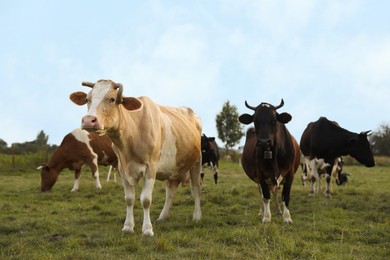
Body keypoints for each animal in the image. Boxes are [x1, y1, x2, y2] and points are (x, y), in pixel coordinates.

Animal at [70, 78, 203, 236]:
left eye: (112, 99)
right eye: (87, 99)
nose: (88, 120)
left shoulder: (151, 167)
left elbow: (145, 199)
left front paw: (147, 229)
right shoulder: (122, 168)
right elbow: (129, 199)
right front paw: (128, 226)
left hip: (197, 161)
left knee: (196, 188)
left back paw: (197, 216)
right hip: (173, 167)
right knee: (170, 191)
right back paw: (163, 217)